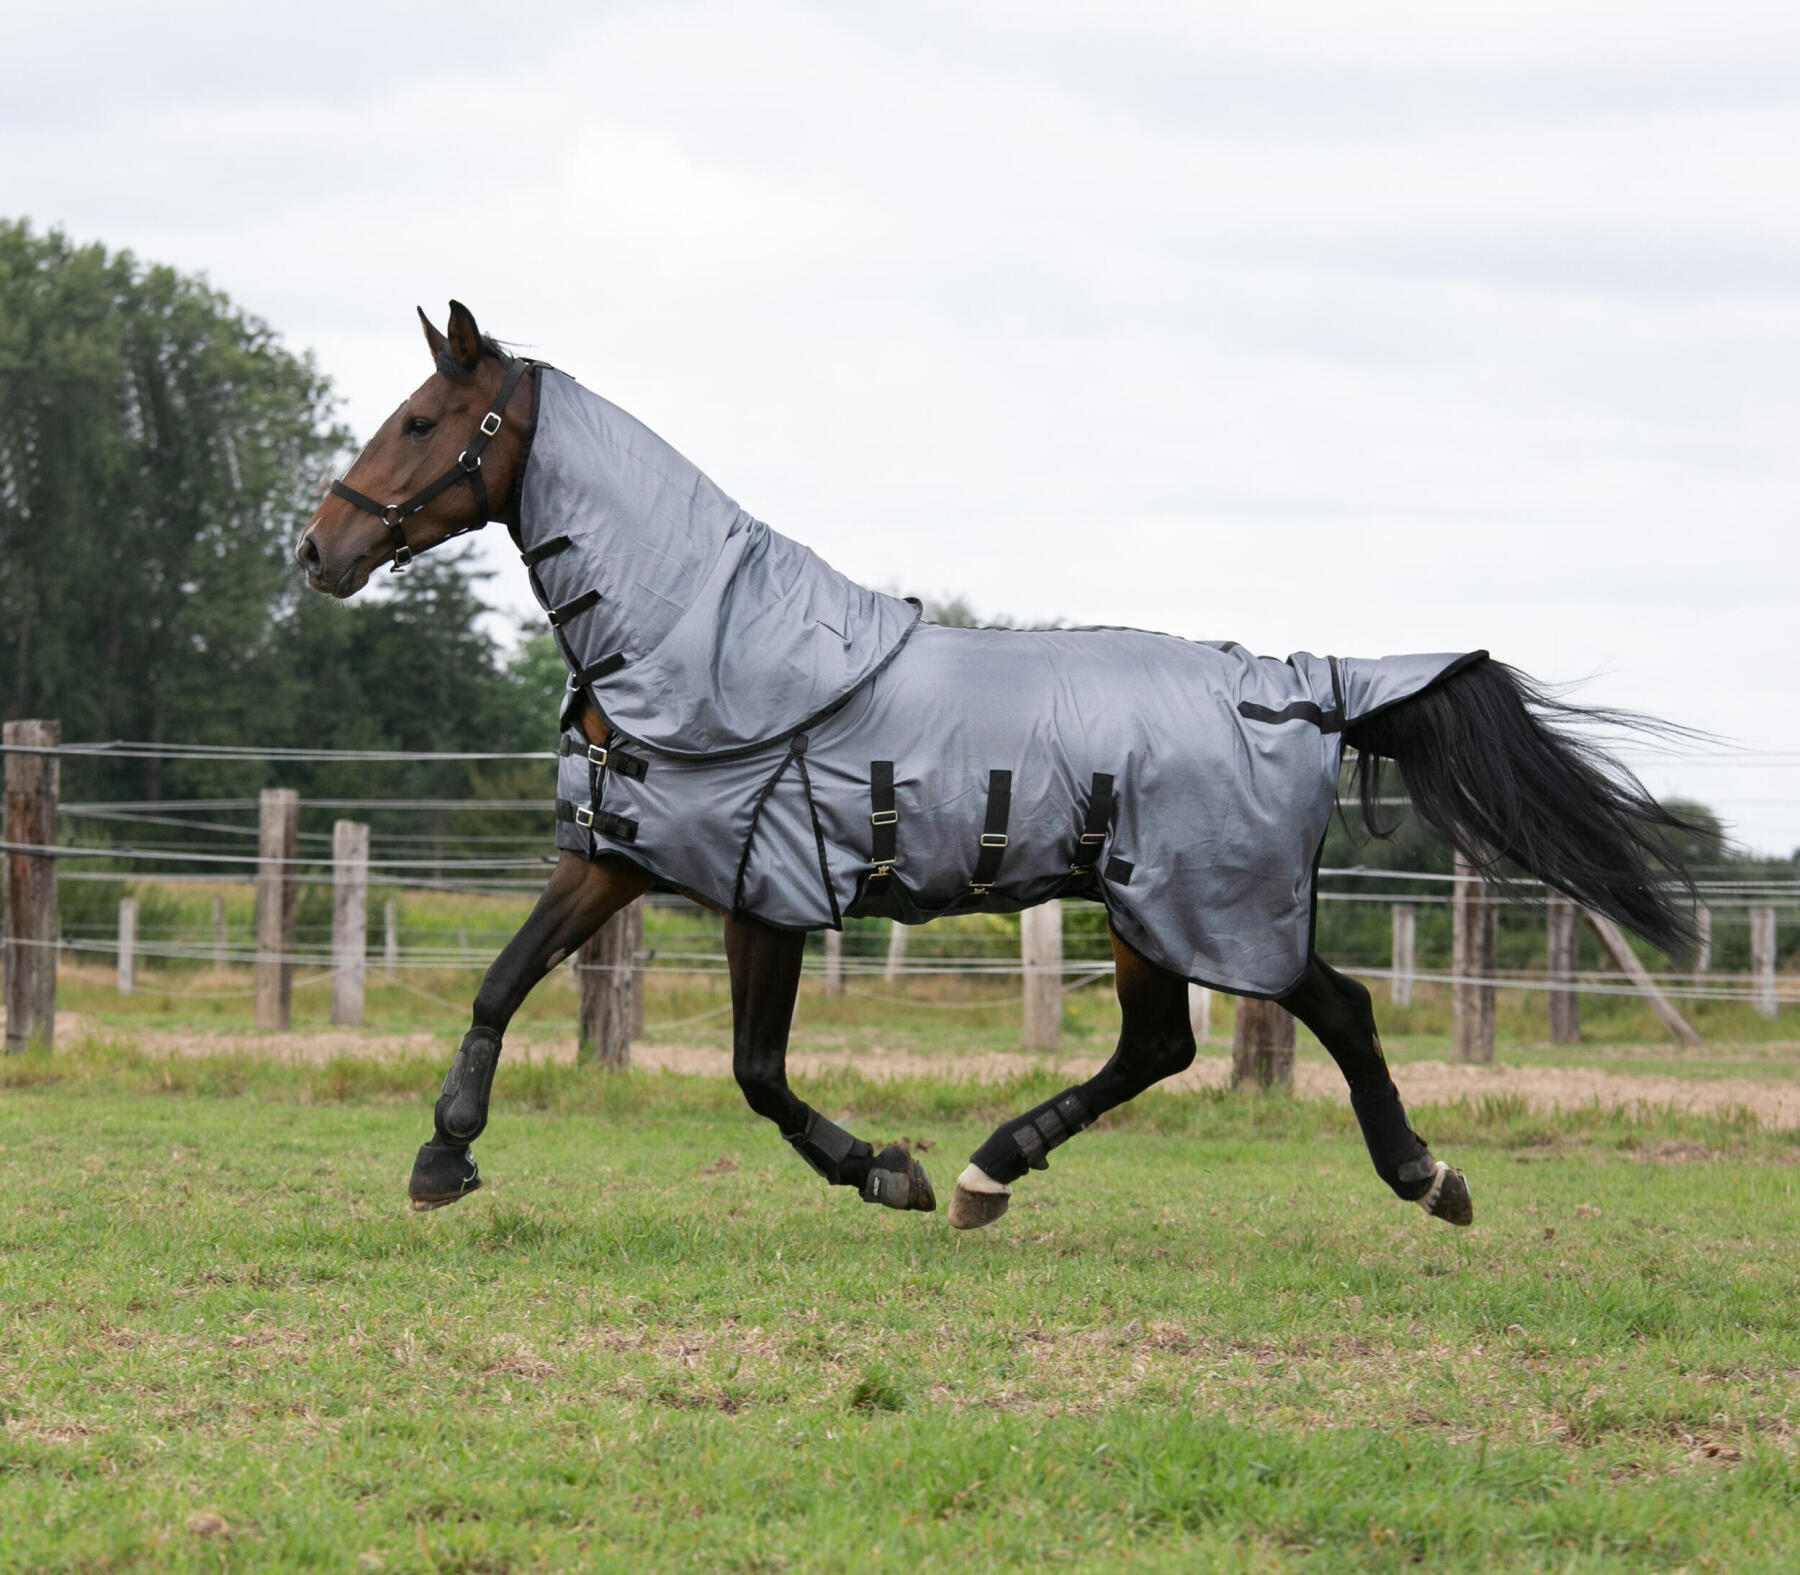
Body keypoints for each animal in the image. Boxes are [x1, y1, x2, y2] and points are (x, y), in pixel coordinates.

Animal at [295, 301, 1696, 1233]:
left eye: (423, 420)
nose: (318, 551)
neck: (705, 638)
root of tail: (1304, 682)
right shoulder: (625, 858)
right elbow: (502, 982)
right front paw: (443, 1159)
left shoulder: (767, 890)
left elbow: (756, 1071)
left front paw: (882, 1169)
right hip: (1144, 909)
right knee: (1160, 1048)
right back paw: (993, 1171)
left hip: (1204, 905)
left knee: (1326, 1010)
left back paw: (1423, 1176)